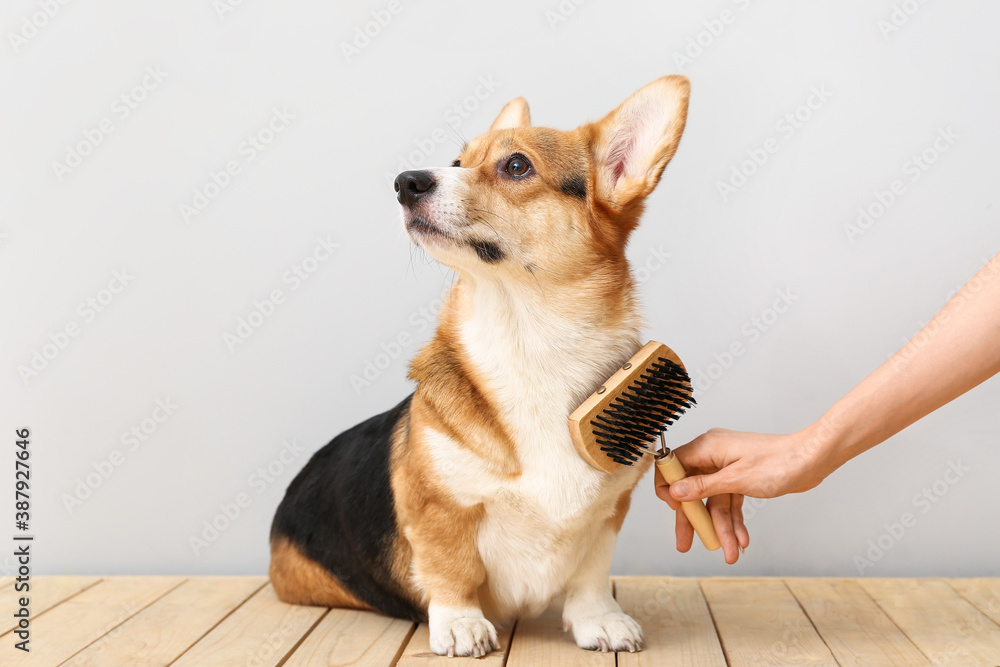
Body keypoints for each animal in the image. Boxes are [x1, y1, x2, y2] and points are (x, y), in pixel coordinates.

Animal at [270, 75, 692, 660]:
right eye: (457, 160)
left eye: (516, 165)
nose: (404, 182)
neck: (529, 342)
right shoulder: (438, 508)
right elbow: (452, 570)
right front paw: (461, 626)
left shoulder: (609, 513)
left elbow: (589, 575)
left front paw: (600, 621)